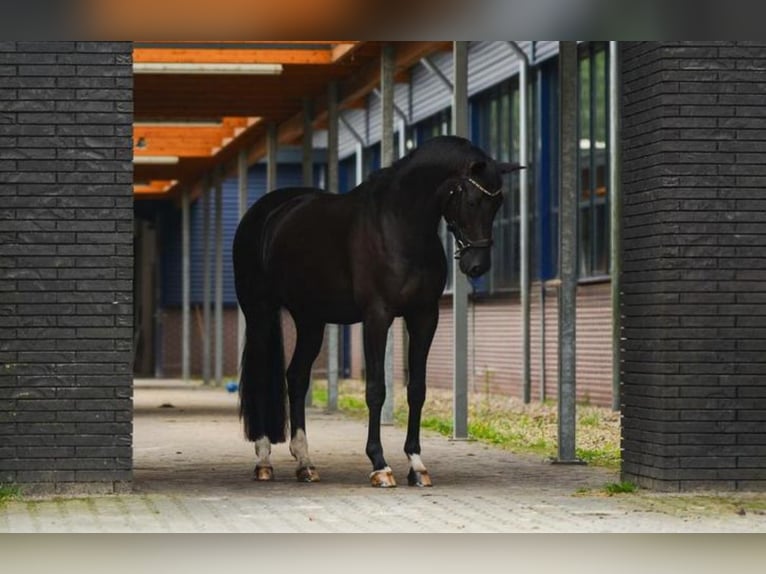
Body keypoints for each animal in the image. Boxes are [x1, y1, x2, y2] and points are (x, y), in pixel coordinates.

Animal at [233, 135, 522, 487]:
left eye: (498, 203)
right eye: (471, 201)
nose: (477, 265)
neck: (399, 225)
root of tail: (264, 213)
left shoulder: (424, 317)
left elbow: (417, 390)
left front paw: (416, 464)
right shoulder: (377, 317)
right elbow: (376, 390)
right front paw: (380, 464)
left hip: (310, 320)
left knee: (296, 377)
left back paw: (305, 463)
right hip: (260, 313)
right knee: (263, 378)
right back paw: (263, 460)